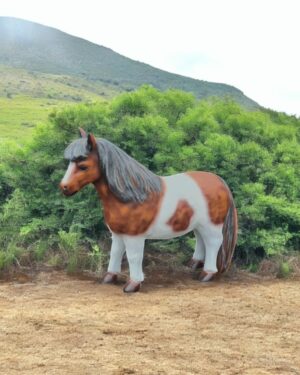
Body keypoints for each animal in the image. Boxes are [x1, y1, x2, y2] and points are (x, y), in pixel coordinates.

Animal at [59, 129, 238, 294]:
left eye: (83, 166)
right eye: (69, 163)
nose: (64, 187)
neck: (132, 196)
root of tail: (220, 181)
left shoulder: (134, 236)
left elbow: (133, 257)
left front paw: (133, 284)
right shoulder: (117, 233)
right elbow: (115, 253)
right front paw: (110, 277)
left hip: (211, 224)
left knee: (213, 242)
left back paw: (207, 273)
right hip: (199, 224)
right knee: (201, 240)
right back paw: (194, 264)